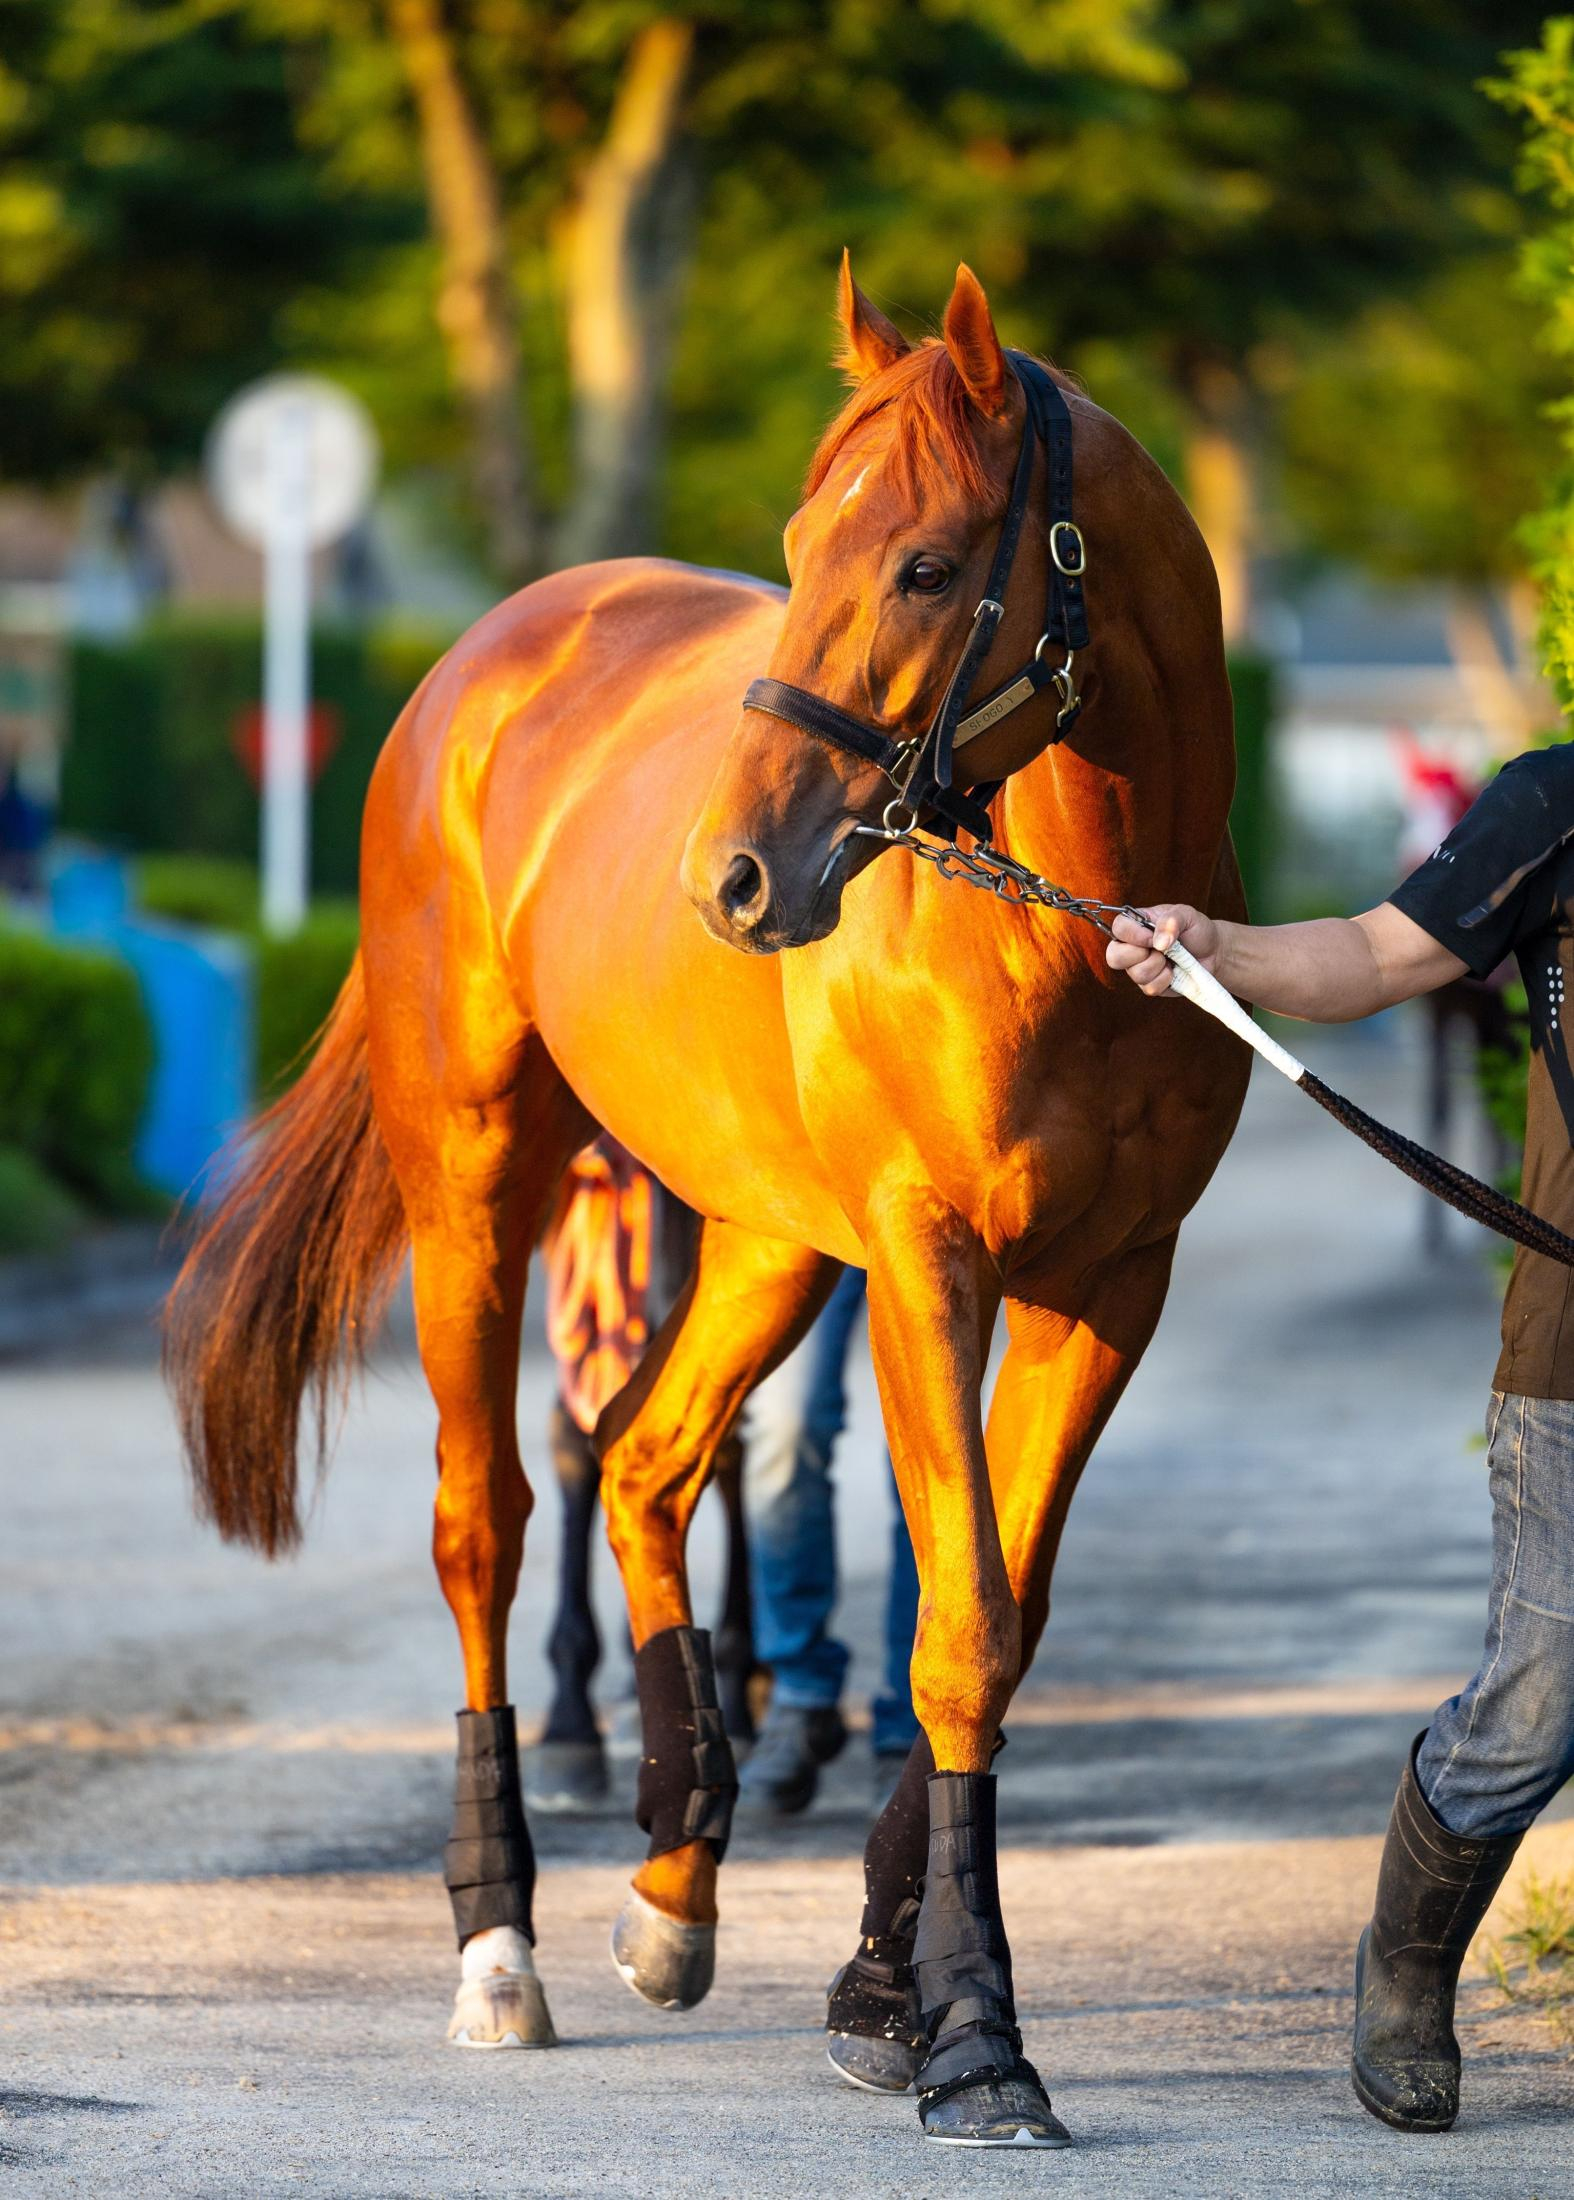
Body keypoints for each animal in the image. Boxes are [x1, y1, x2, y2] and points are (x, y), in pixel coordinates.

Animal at [164, 256, 1249, 2149]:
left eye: (921, 563)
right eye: (801, 542)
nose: (731, 878)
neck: (1081, 925)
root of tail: (495, 654)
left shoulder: (1112, 1284)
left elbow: (996, 1624)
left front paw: (886, 1988)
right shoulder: (927, 1267)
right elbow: (958, 1631)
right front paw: (976, 2036)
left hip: (761, 1240)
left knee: (651, 1465)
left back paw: (674, 1880)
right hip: (479, 1186)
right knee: (491, 1516)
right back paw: (499, 1936)